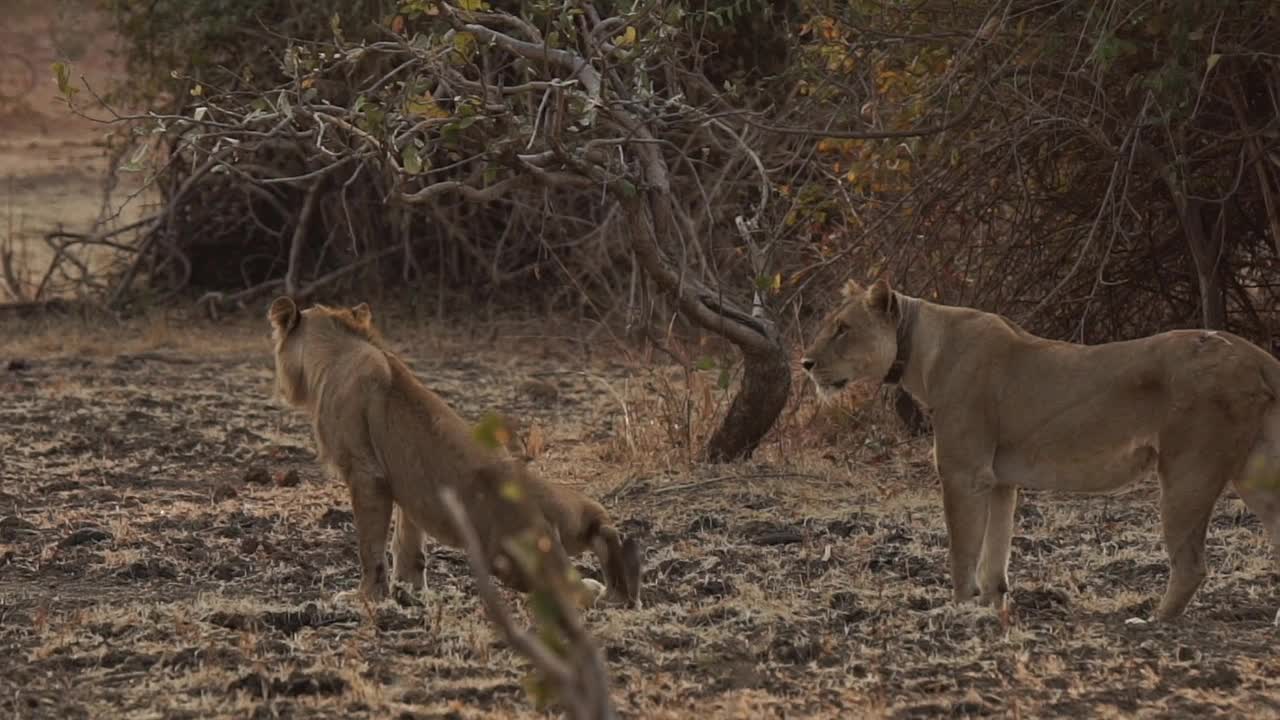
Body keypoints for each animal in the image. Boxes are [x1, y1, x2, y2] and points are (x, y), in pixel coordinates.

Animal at [264, 295, 640, 604]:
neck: (336, 353)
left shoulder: (365, 472)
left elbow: (370, 545)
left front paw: (366, 596)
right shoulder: (406, 482)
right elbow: (407, 540)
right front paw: (409, 589)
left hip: (509, 559)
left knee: (572, 590)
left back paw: (603, 591)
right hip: (568, 508)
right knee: (599, 524)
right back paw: (616, 587)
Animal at [798, 275, 1280, 622]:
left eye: (842, 329)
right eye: (829, 326)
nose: (804, 363)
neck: (920, 349)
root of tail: (1255, 354)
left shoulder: (963, 472)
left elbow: (961, 551)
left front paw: (956, 611)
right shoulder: (998, 480)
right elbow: (994, 554)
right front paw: (991, 609)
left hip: (1187, 473)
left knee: (1191, 565)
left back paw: (1152, 622)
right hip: (1255, 476)